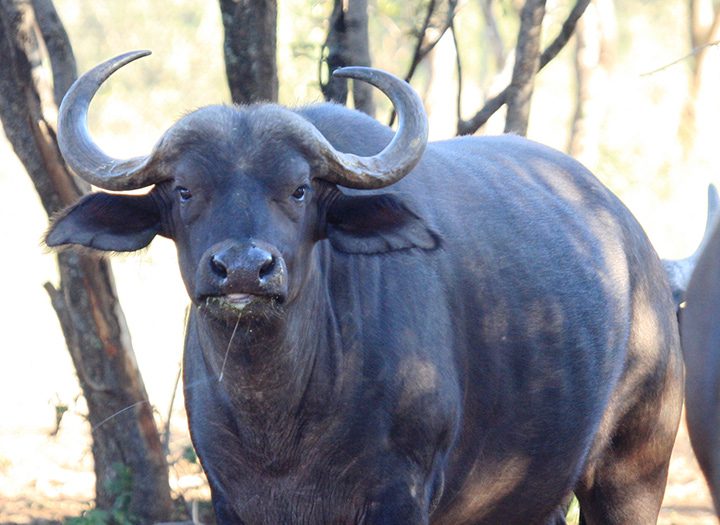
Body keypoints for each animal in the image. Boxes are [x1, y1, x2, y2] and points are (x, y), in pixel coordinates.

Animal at [46, 51, 684, 524]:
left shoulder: (402, 494)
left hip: (635, 468)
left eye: (300, 188)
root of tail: (643, 257)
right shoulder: (227, 498)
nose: (245, 270)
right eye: (183, 189)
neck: (280, 424)